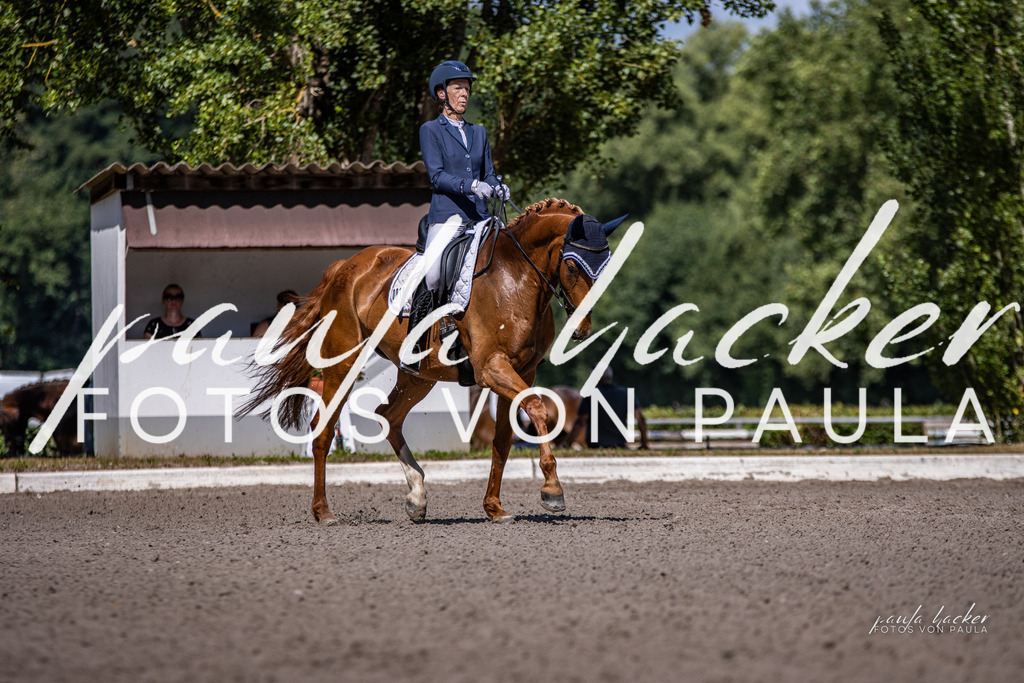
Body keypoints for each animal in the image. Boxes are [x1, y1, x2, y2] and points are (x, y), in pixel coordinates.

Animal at [238, 198, 626, 524]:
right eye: (572, 266)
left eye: (606, 266)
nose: (582, 328)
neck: (516, 278)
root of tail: (343, 267)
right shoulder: (491, 368)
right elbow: (537, 408)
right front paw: (552, 490)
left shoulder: (522, 371)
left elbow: (504, 438)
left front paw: (495, 507)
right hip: (343, 364)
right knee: (324, 428)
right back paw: (323, 512)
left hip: (418, 376)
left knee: (389, 416)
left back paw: (417, 495)